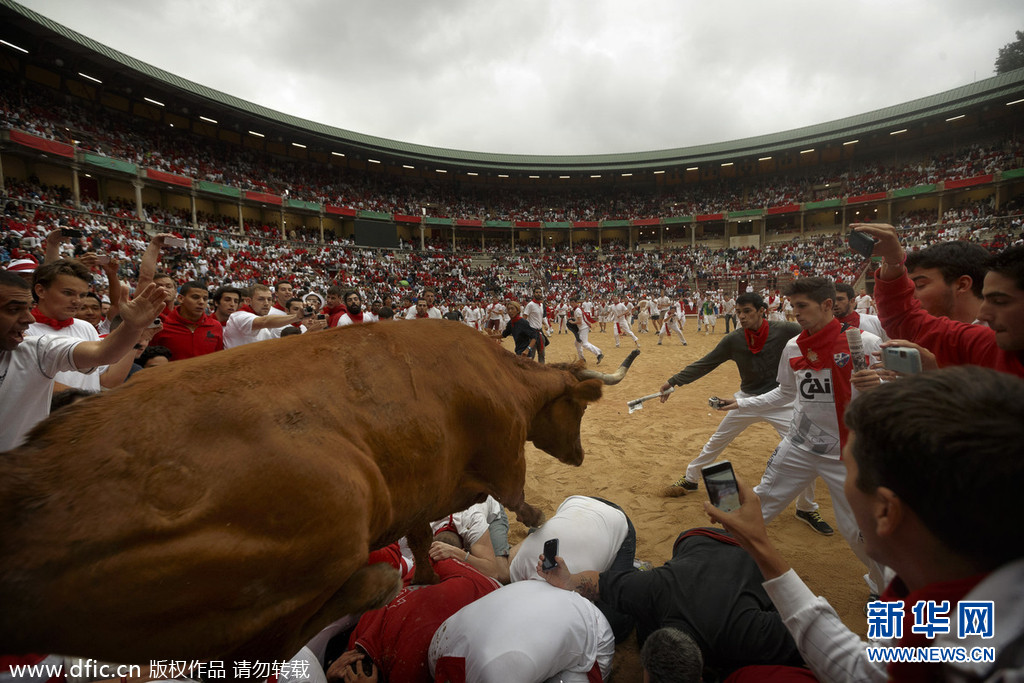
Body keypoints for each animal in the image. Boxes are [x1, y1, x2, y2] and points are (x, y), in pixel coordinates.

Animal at [0, 320, 637, 670]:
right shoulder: (503, 460)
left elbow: (422, 542)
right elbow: (529, 508)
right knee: (288, 633)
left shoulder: (423, 493)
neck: (498, 376)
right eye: (579, 408)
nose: (580, 456)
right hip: (328, 524)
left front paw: (431, 579)